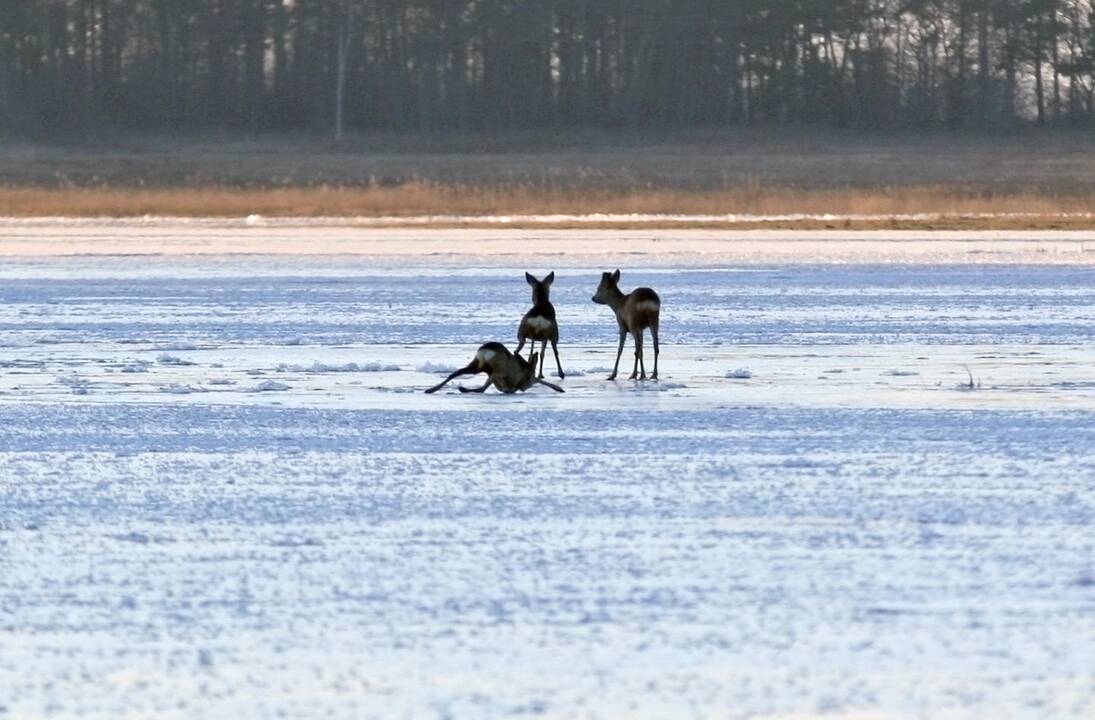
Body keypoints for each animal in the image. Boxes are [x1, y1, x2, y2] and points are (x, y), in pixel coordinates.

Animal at [422, 341, 565, 391]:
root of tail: (486, 349)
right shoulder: (524, 381)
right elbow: (539, 380)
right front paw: (559, 388)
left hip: (479, 366)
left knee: (456, 373)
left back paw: (432, 389)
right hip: (496, 370)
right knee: (481, 387)